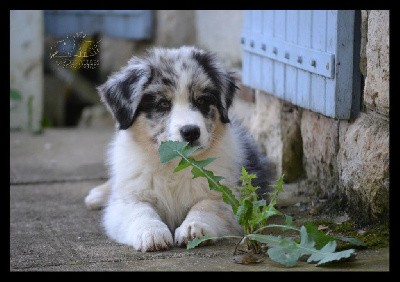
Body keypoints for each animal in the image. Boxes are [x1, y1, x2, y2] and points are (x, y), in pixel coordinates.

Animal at [83, 46, 274, 251]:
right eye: (163, 104)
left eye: (202, 101)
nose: (191, 132)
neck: (174, 164)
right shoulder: (127, 198)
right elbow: (140, 210)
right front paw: (152, 232)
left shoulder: (228, 196)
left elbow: (206, 206)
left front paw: (194, 227)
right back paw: (97, 195)